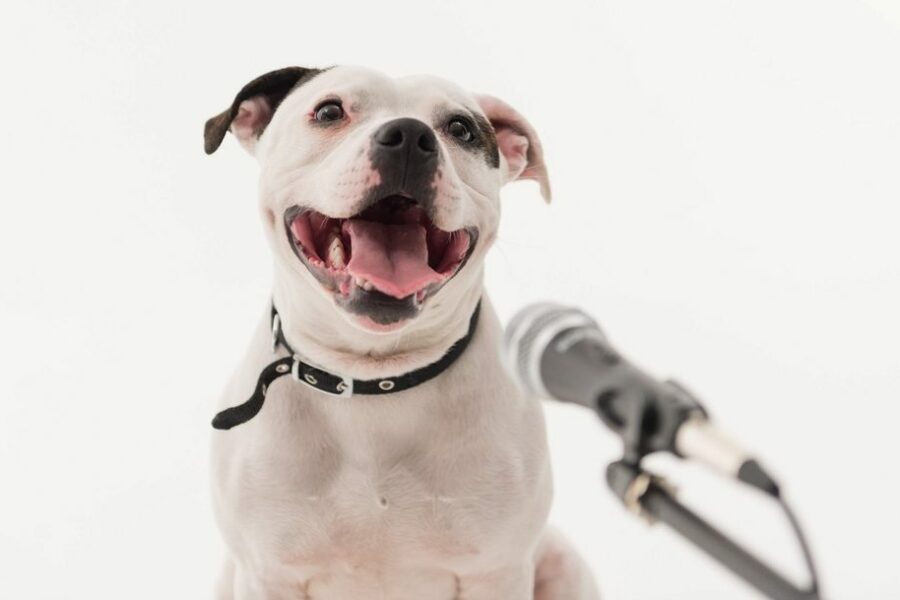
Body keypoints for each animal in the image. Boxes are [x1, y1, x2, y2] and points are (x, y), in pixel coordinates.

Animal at [204, 67, 596, 600]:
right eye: (329, 110)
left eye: (461, 128)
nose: (410, 136)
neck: (373, 380)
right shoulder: (267, 573)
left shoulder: (497, 569)